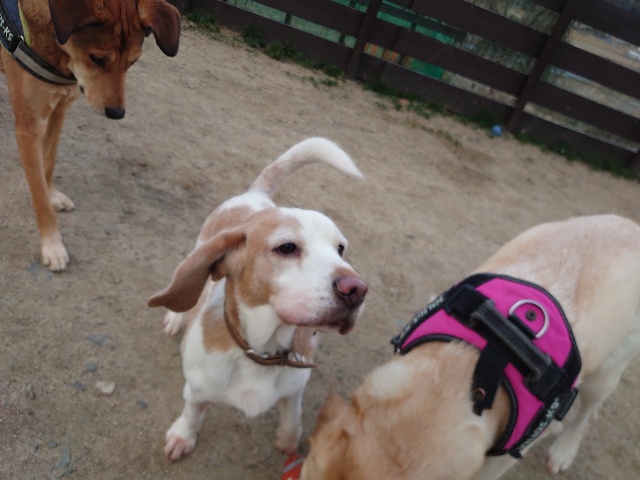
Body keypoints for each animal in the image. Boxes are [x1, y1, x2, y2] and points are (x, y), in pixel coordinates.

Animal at [0, 0, 180, 271]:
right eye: (97, 59)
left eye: (133, 62)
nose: (117, 113)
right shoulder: (29, 127)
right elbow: (39, 197)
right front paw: (52, 245)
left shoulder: (58, 112)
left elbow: (48, 165)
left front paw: (52, 194)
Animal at [148, 137, 368, 462]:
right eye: (286, 247)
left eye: (340, 249)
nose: (357, 290)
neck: (263, 351)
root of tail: (257, 195)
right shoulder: (197, 390)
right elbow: (193, 414)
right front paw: (182, 436)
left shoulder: (294, 389)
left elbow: (293, 417)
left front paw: (289, 441)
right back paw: (177, 318)